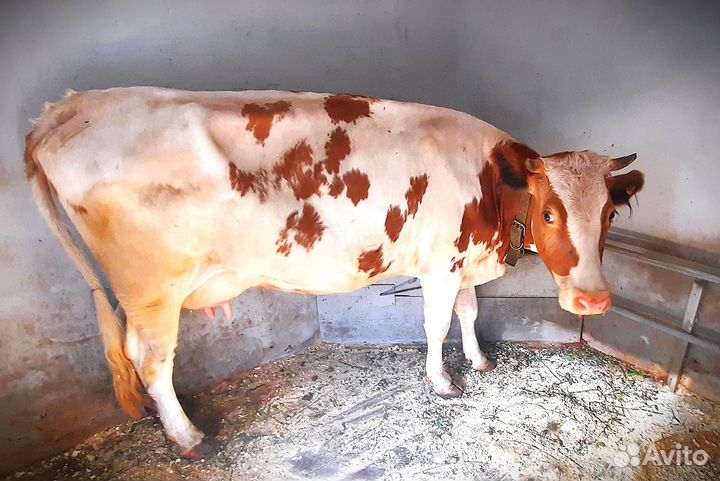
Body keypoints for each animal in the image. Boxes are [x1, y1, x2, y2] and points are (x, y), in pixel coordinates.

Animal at [24, 87, 644, 457]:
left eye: (610, 213)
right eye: (549, 213)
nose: (593, 301)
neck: (488, 184)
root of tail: (67, 109)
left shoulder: (463, 261)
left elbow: (469, 315)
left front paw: (478, 360)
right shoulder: (439, 264)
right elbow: (437, 324)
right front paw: (442, 381)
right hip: (151, 289)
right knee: (150, 360)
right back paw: (188, 436)